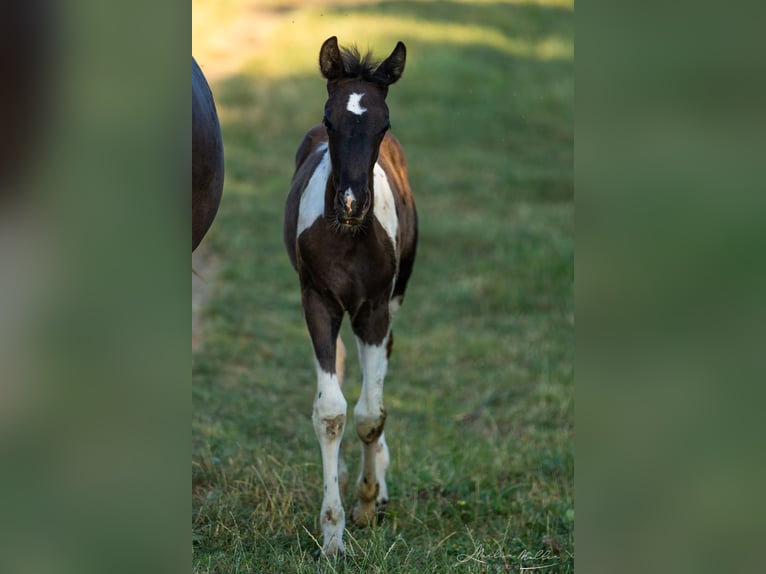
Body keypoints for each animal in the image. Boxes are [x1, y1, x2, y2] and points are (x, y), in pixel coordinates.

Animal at [284, 36, 418, 557]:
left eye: (384, 123)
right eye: (329, 119)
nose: (351, 203)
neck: (348, 236)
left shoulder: (376, 308)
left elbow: (370, 414)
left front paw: (366, 502)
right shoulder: (317, 300)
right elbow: (331, 412)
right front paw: (332, 535)